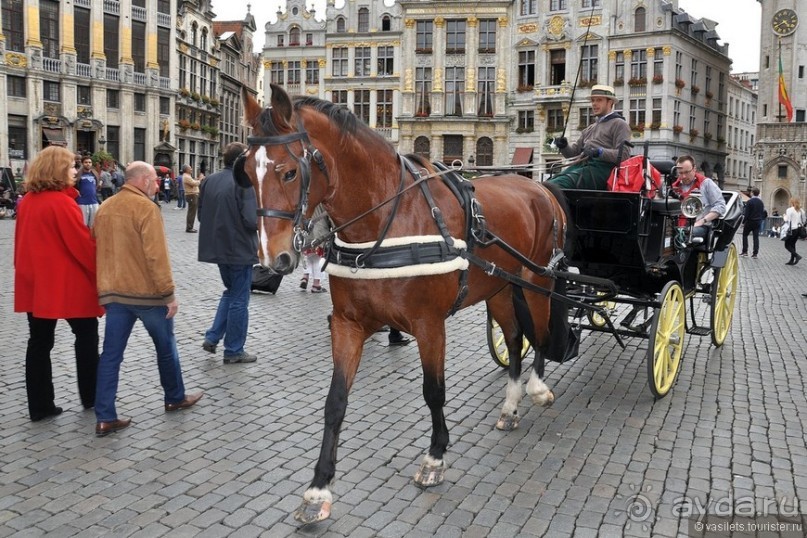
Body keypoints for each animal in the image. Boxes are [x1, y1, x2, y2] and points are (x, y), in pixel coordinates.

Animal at [238, 85, 568, 524]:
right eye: (245, 172)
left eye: (289, 172)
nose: (271, 259)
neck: (385, 223)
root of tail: (541, 187)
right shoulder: (347, 324)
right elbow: (335, 402)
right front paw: (318, 489)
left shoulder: (430, 324)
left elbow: (434, 391)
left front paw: (434, 458)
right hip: (498, 289)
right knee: (515, 340)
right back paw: (510, 406)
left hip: (538, 282)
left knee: (542, 332)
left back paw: (537, 388)